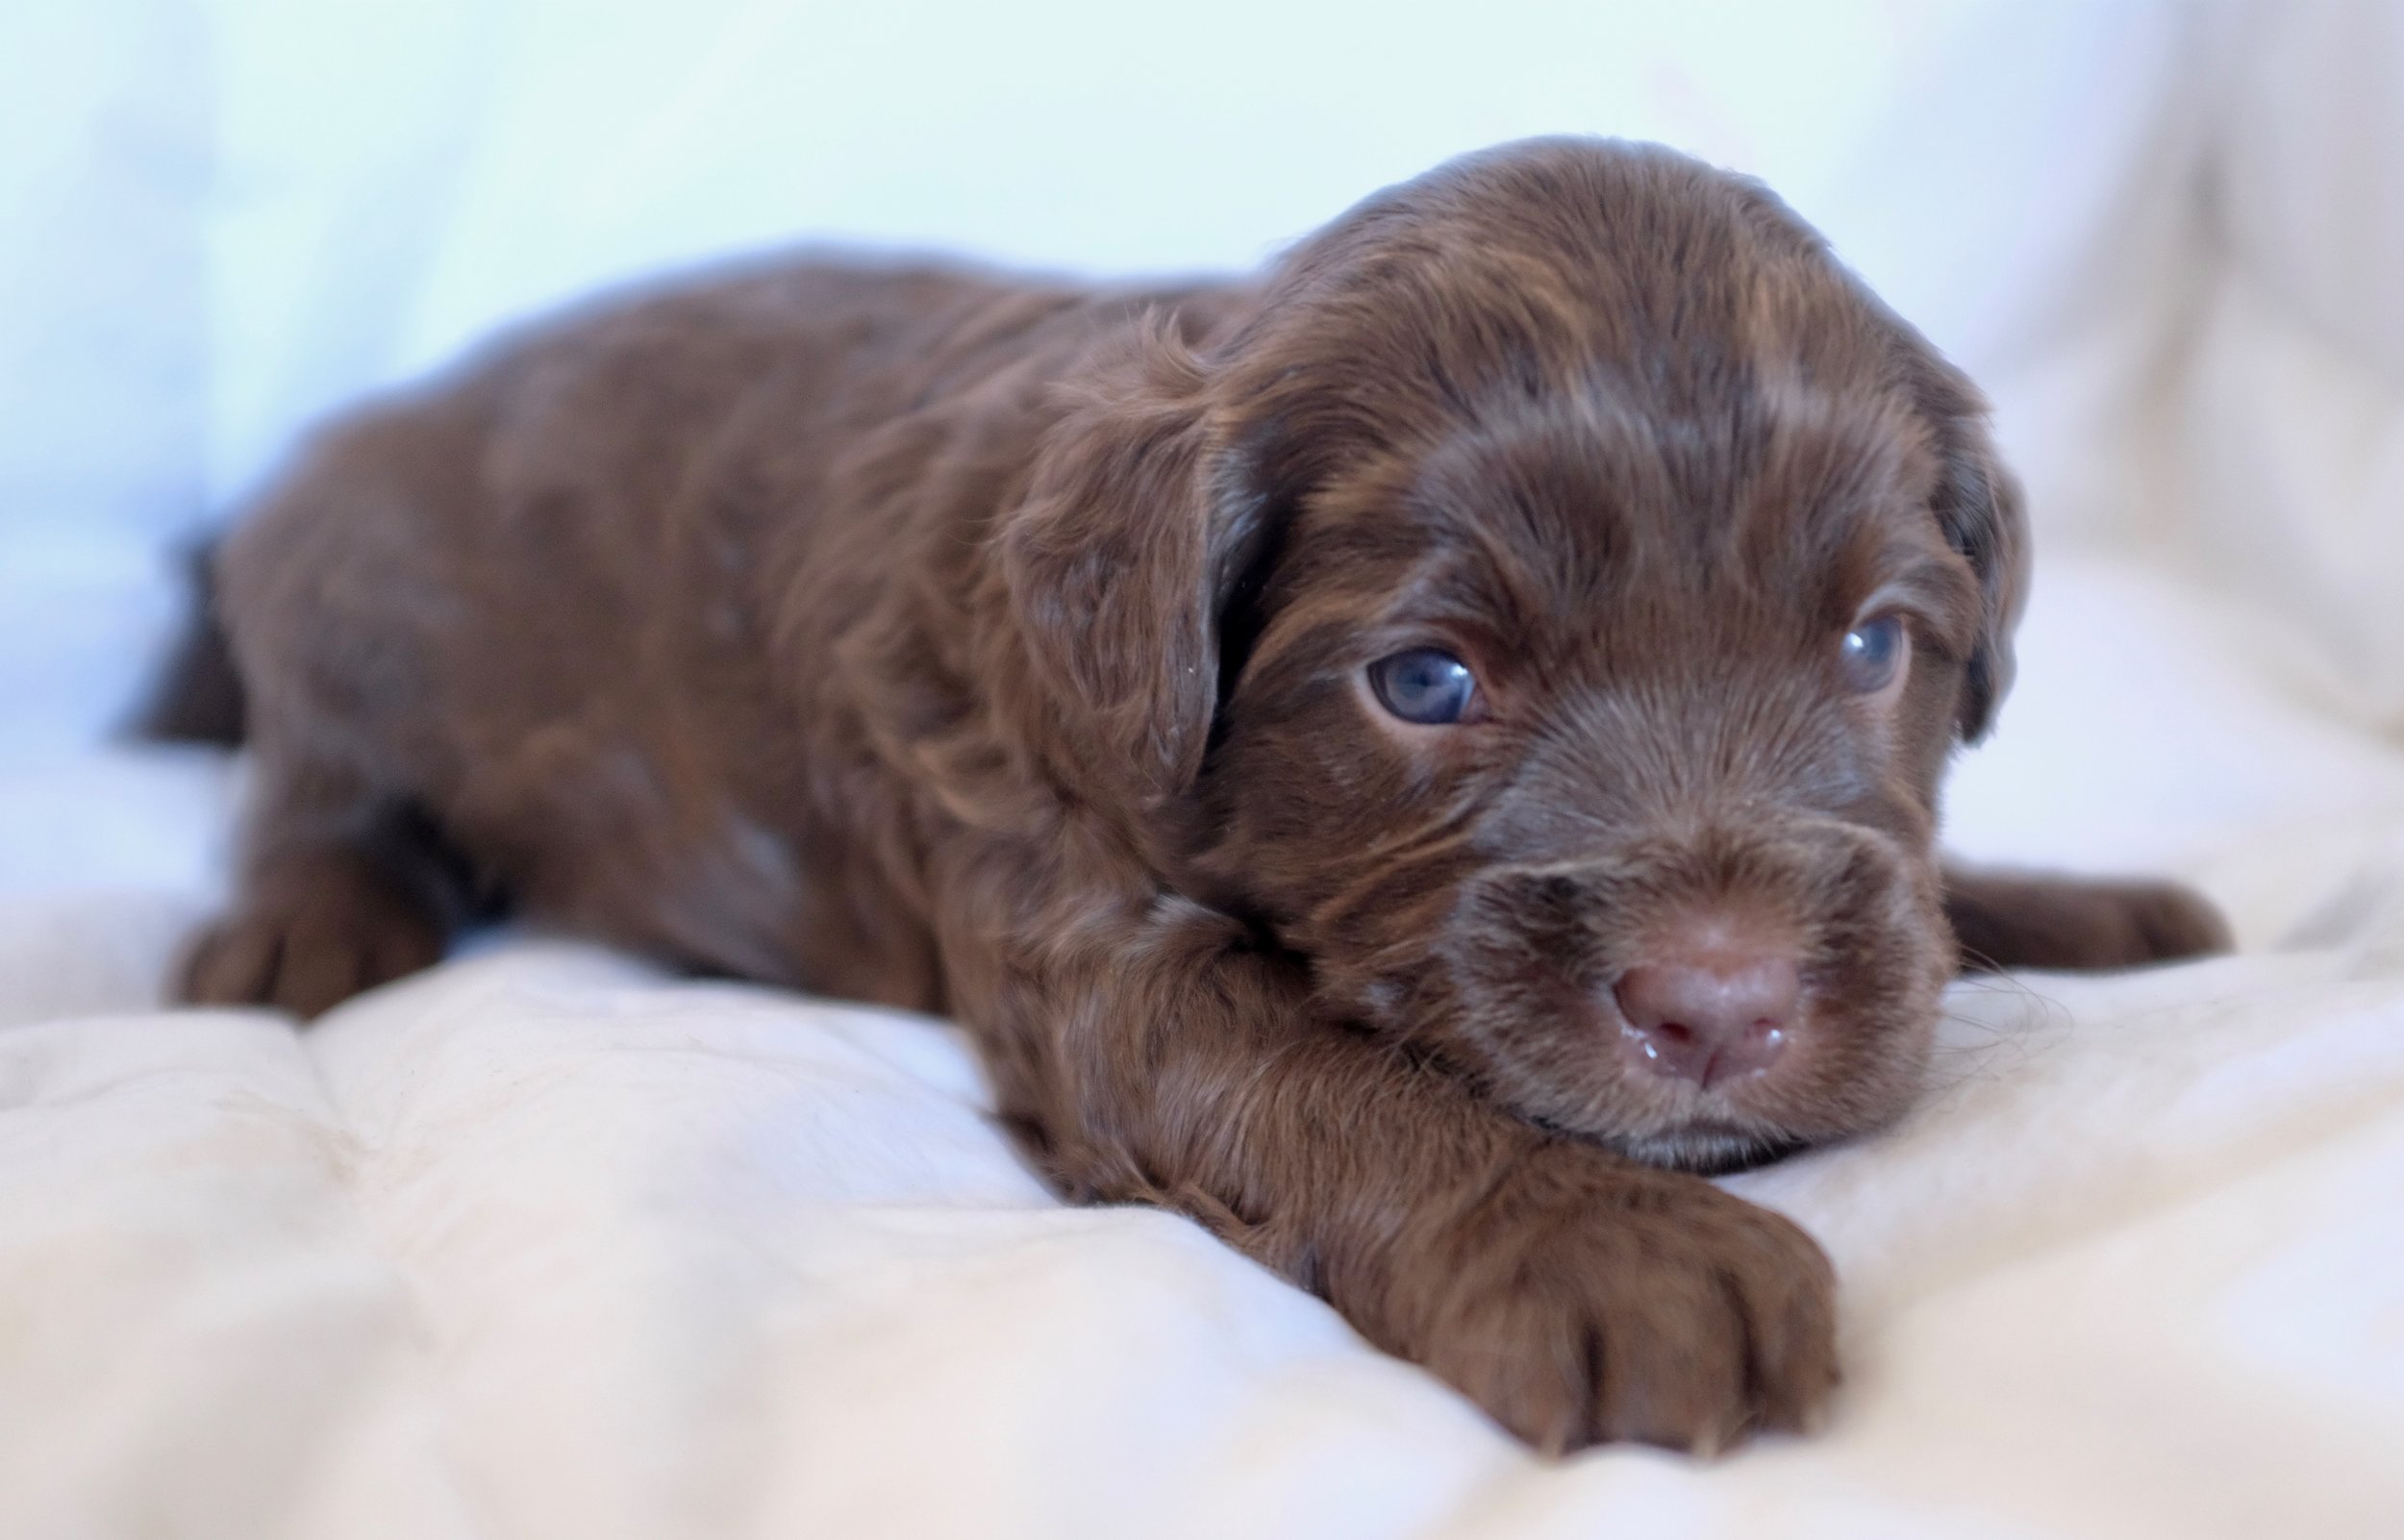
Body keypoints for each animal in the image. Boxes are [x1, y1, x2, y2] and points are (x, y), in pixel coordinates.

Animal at [169, 137, 2221, 1451]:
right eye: (1425, 682)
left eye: (1877, 644)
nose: (1722, 1005)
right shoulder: (1067, 894)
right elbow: (1316, 1080)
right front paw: (1616, 1249)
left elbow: (1928, 901)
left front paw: (2088, 910)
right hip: (364, 614)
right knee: (319, 777)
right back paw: (298, 929)